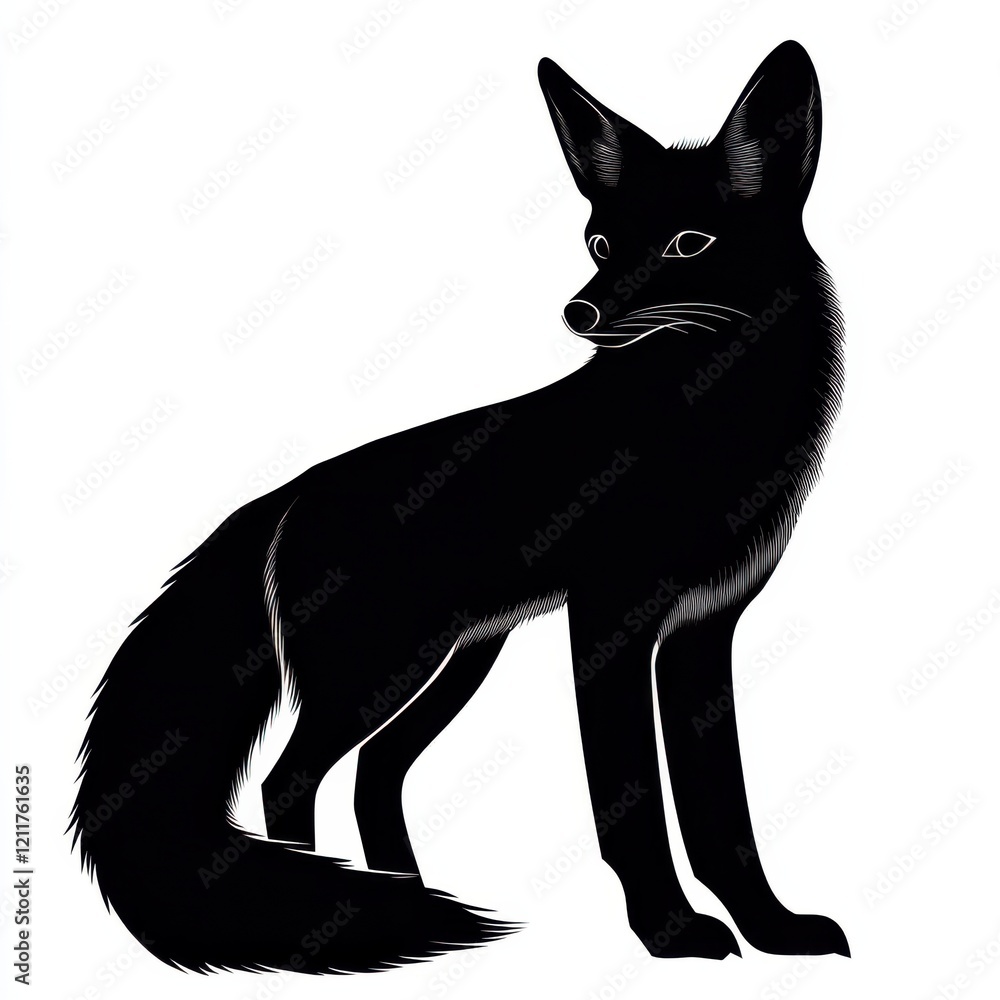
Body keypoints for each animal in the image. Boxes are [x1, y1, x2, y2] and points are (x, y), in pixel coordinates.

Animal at [72, 40, 848, 973]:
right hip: (376, 670)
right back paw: (332, 918)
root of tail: (286, 495)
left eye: (689, 243)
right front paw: (668, 931)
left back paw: (400, 900)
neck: (712, 428)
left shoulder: (704, 630)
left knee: (375, 773)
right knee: (292, 776)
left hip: (450, 662)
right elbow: (630, 807)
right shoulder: (611, 622)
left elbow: (721, 813)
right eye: (599, 242)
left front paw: (771, 927)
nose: (580, 310)